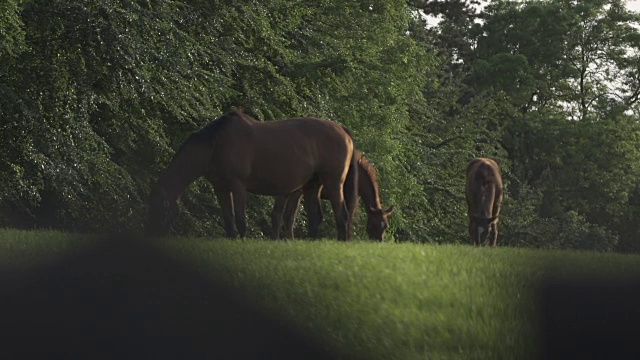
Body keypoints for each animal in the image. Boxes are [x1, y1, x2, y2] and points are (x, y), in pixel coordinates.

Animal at [149, 109, 360, 239]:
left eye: (160, 207)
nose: (152, 234)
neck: (216, 143)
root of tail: (342, 130)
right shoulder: (220, 187)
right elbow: (228, 219)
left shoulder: (238, 185)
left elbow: (241, 220)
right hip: (311, 186)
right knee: (315, 218)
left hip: (333, 183)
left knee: (342, 215)